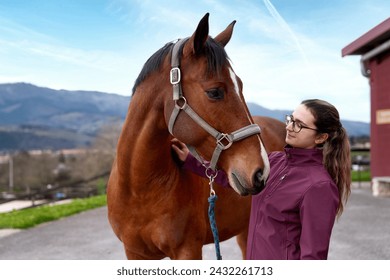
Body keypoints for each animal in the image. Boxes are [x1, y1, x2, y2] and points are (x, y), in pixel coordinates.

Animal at [108, 12, 284, 260]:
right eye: (215, 92)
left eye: (240, 85)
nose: (261, 172)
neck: (139, 190)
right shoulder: (134, 253)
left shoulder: (188, 250)